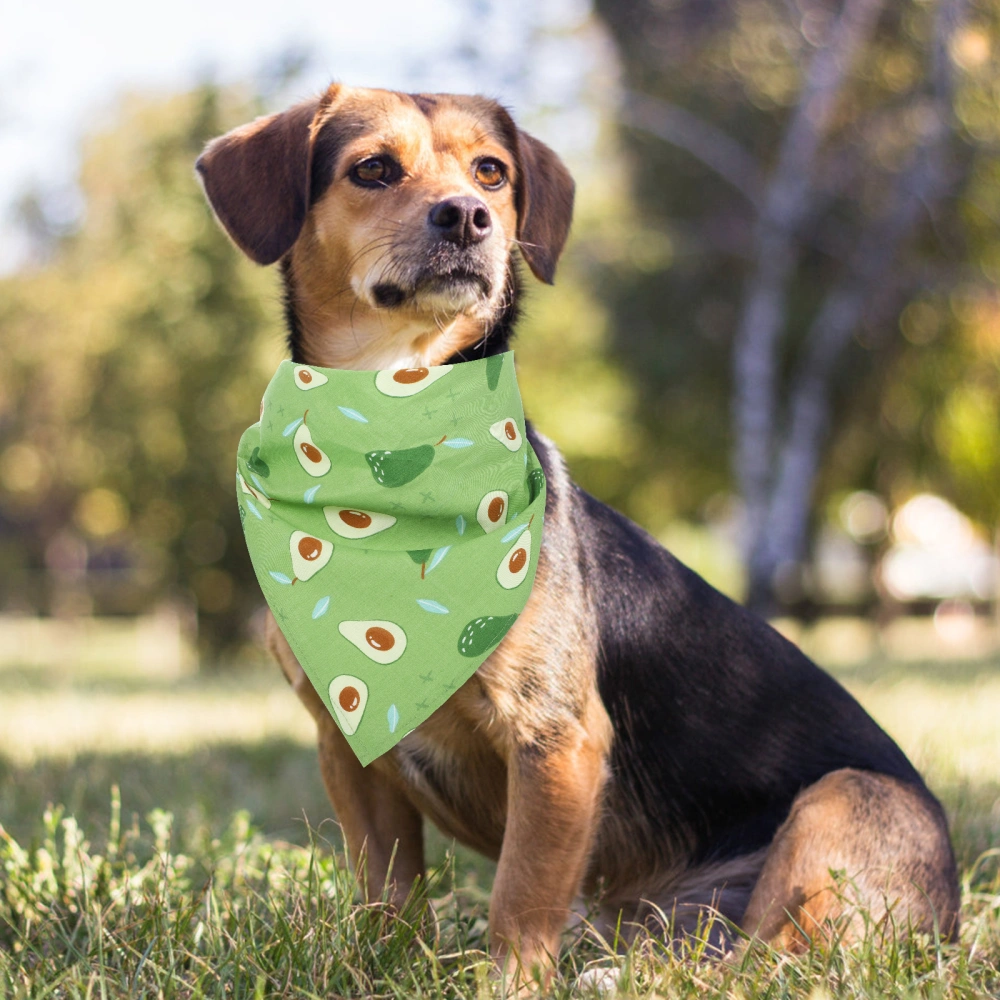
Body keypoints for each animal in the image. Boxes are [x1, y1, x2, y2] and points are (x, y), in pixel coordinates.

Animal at [195, 86, 960, 992]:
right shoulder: (347, 746)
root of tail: (952, 919)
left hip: (840, 802)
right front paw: (381, 969)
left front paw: (510, 986)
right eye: (373, 169)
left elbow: (522, 895)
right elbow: (388, 893)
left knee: (769, 964)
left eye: (491, 171)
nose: (469, 215)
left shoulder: (556, 740)